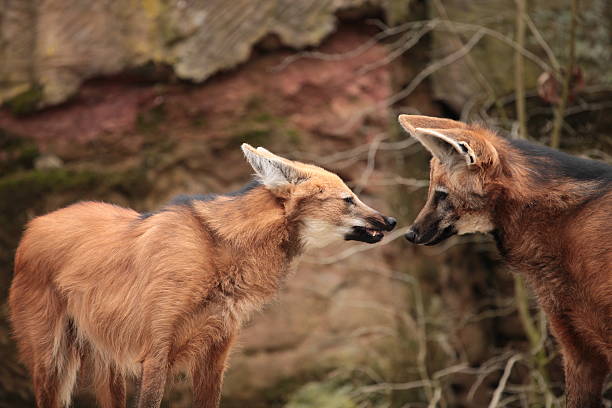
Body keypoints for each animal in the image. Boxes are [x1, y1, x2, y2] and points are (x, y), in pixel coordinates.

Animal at [8, 144, 396, 408]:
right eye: (348, 199)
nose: (391, 220)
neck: (219, 255)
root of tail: (34, 224)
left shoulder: (214, 356)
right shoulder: (156, 352)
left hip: (107, 360)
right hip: (52, 359)